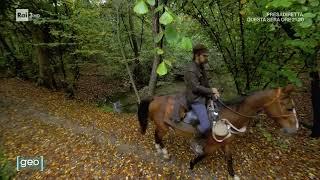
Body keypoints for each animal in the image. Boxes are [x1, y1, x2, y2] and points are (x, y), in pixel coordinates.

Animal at [137, 85, 298, 179]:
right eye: (289, 108)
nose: (295, 128)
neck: (229, 117)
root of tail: (155, 98)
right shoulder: (211, 146)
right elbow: (201, 156)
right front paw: (191, 166)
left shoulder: (226, 143)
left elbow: (229, 159)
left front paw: (233, 176)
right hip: (163, 127)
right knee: (158, 136)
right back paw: (164, 152)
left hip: (162, 126)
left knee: (156, 135)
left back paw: (160, 150)